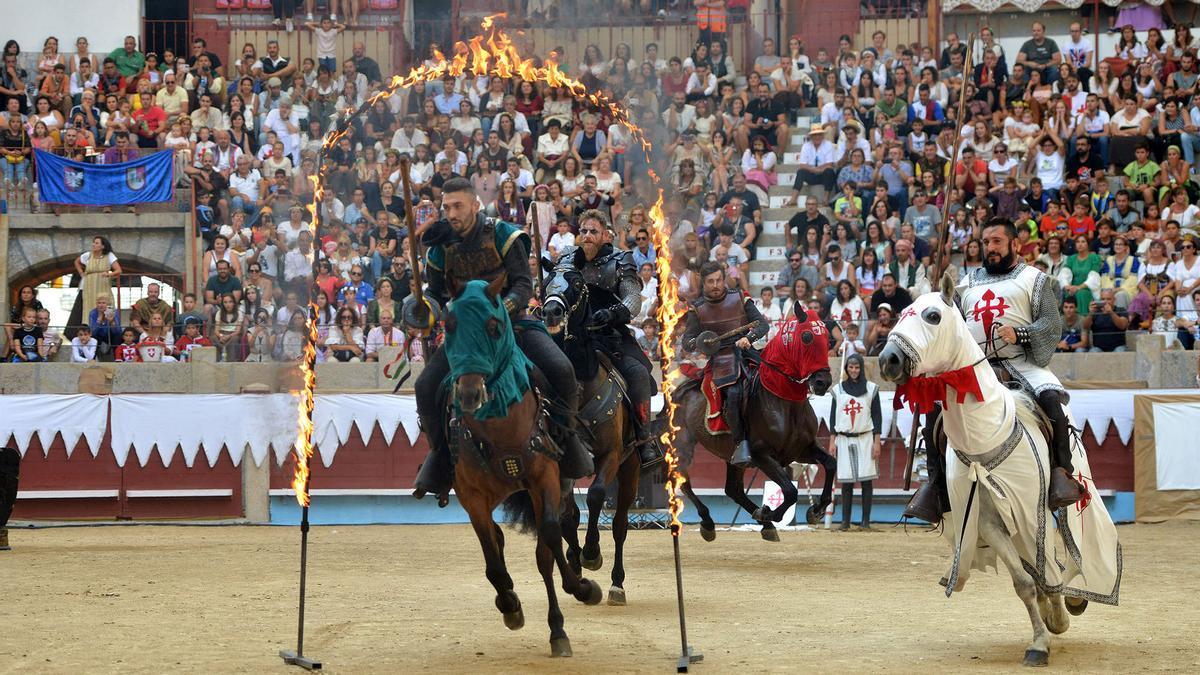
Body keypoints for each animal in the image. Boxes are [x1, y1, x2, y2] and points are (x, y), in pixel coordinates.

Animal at [441, 276, 604, 653]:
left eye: (494, 326)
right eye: (449, 325)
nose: (470, 394)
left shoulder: (544, 480)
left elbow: (548, 543)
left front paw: (573, 602)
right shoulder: (472, 498)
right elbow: (492, 559)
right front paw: (510, 604)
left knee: (556, 534)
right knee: (502, 541)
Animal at [676, 312, 835, 540]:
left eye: (828, 339)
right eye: (806, 337)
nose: (823, 382)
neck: (784, 400)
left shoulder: (801, 450)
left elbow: (830, 463)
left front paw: (817, 510)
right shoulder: (762, 455)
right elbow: (790, 491)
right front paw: (768, 513)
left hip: (732, 458)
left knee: (733, 490)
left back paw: (765, 525)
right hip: (682, 445)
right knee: (683, 479)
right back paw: (708, 522)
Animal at [878, 269, 1118, 667]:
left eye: (932, 316)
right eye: (901, 315)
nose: (889, 360)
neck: (987, 434)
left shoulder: (1033, 510)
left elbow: (1045, 568)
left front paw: (1054, 621)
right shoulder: (987, 520)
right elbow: (1023, 581)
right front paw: (1042, 636)